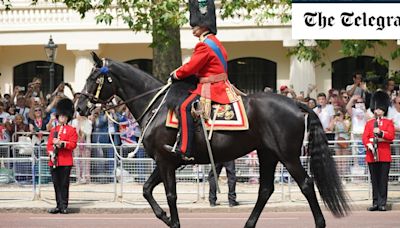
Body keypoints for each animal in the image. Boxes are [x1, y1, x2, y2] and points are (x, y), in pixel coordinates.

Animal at [76, 53, 348, 228]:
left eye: (94, 78)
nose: (79, 106)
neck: (156, 106)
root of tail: (297, 104)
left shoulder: (165, 161)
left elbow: (170, 195)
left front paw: (174, 222)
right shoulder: (166, 161)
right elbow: (146, 190)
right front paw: (166, 217)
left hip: (288, 156)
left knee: (306, 184)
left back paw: (320, 223)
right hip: (267, 154)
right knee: (266, 189)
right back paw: (248, 224)